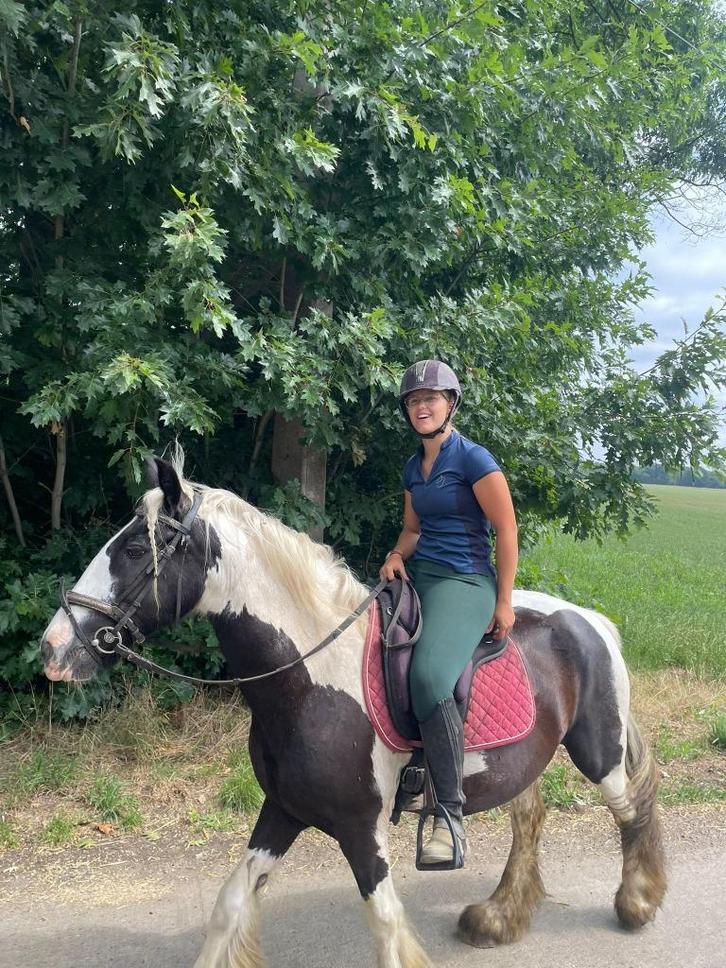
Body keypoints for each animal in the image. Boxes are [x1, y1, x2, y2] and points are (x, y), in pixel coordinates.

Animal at [40, 457, 666, 968]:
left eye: (134, 549)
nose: (54, 649)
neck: (310, 680)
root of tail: (590, 619)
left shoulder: (362, 828)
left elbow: (387, 928)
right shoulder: (282, 810)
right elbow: (230, 905)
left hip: (598, 753)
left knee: (631, 807)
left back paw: (636, 903)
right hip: (520, 762)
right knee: (530, 819)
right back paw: (497, 918)